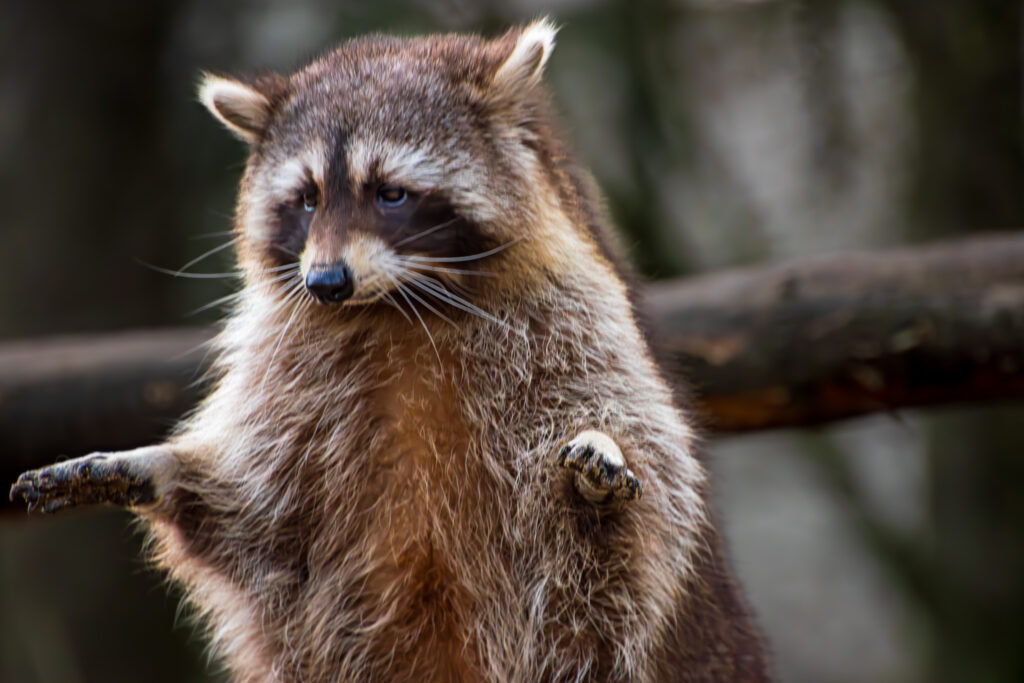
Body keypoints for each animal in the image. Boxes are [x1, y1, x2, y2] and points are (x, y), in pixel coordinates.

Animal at [14, 18, 770, 679]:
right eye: (308, 198)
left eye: (390, 193)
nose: (326, 283)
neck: (400, 306)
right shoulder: (291, 368)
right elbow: (258, 510)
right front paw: (165, 467)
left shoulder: (581, 318)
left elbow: (648, 497)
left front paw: (603, 473)